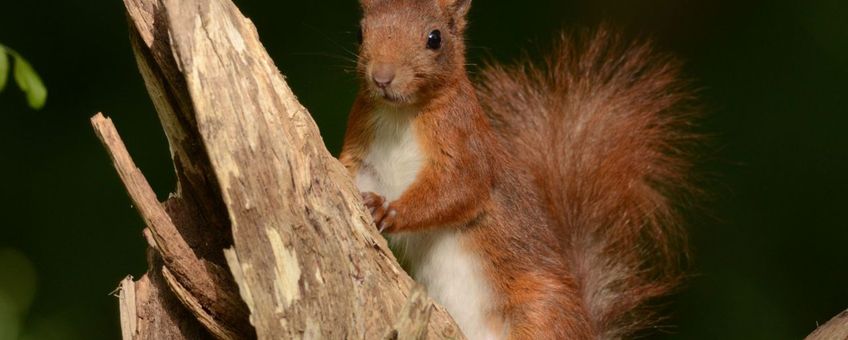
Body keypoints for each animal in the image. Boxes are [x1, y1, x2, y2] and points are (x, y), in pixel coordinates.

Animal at [336, 0, 696, 338]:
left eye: (434, 39)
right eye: (360, 33)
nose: (382, 77)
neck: (400, 114)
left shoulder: (467, 143)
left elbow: (459, 190)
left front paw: (389, 210)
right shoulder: (363, 148)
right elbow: (349, 170)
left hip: (542, 314)